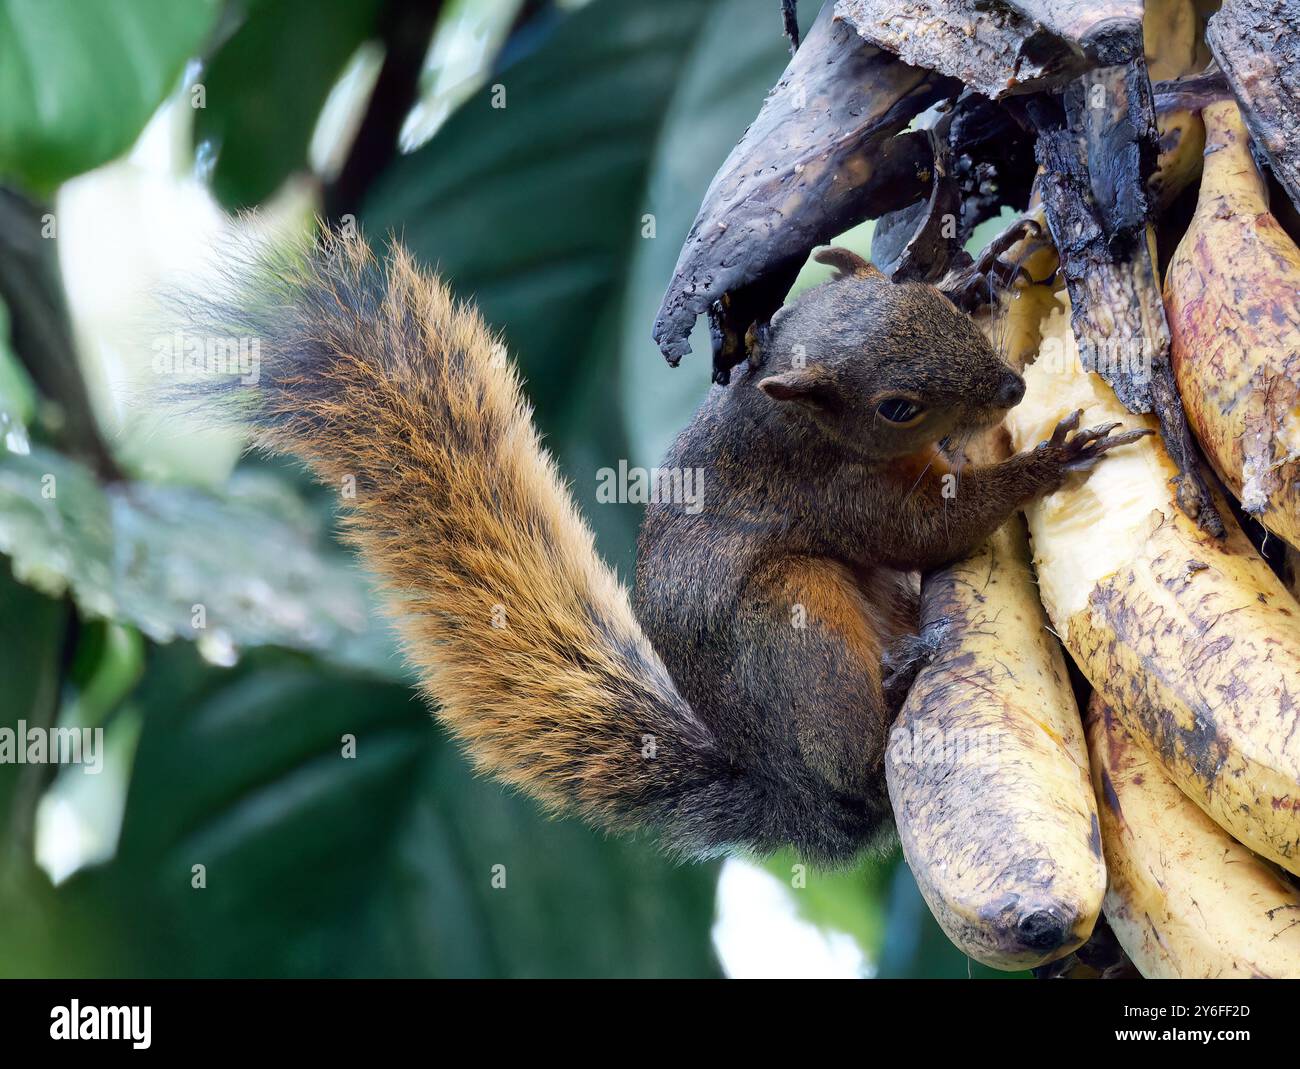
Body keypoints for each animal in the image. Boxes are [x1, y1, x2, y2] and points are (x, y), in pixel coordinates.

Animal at [189, 230, 1145, 864]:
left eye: (934, 308)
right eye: (896, 406)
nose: (1010, 387)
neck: (787, 420)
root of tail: (792, 805)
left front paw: (983, 266)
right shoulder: (832, 492)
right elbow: (932, 526)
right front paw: (1048, 459)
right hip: (793, 630)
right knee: (853, 752)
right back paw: (898, 682)